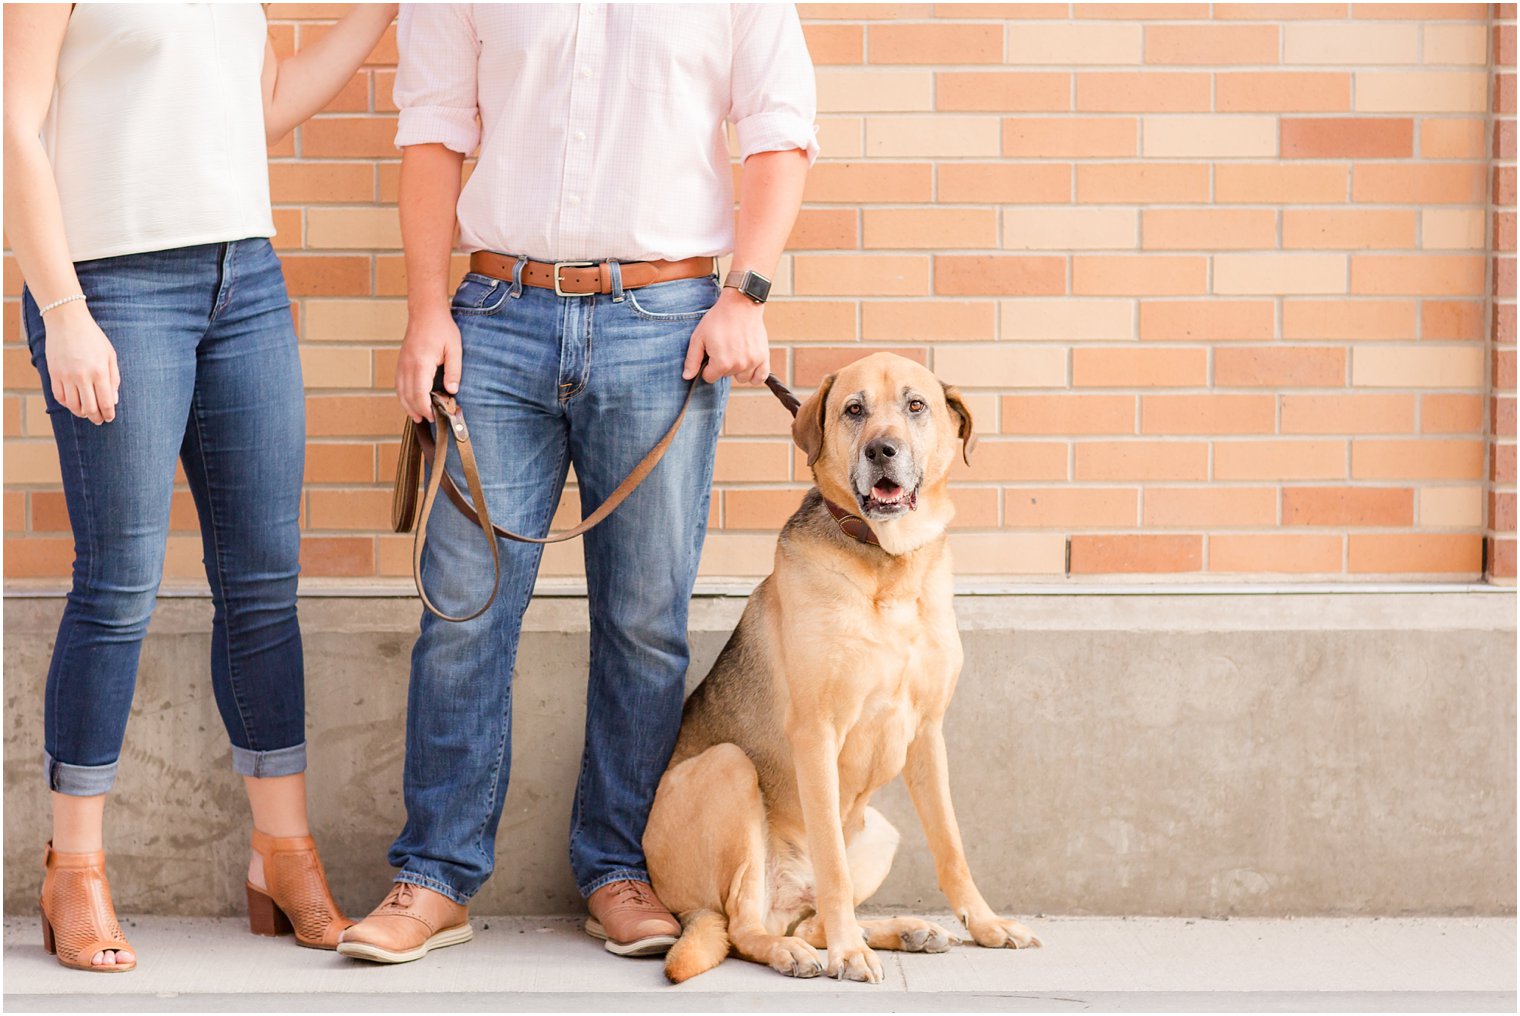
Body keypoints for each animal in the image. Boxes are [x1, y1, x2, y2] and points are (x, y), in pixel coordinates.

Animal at [641, 352, 1045, 979]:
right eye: (854, 409)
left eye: (916, 405)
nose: (883, 449)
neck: (888, 563)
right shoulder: (816, 734)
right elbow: (830, 857)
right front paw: (848, 954)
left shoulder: (927, 734)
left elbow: (951, 846)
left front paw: (984, 924)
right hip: (730, 770)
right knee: (745, 927)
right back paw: (802, 950)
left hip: (881, 832)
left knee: (807, 919)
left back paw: (900, 931)